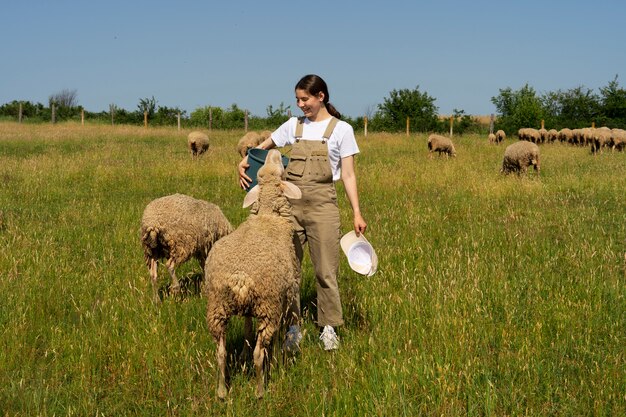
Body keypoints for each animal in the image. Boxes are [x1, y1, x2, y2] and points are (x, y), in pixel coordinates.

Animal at [204, 149, 302, 396]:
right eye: (282, 173)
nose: (274, 151)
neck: (267, 214)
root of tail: (240, 277)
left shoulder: (250, 308)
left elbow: (247, 330)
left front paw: (245, 349)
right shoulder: (285, 294)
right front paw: (277, 356)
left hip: (217, 308)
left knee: (221, 353)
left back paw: (222, 392)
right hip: (268, 306)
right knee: (260, 353)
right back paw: (260, 391)